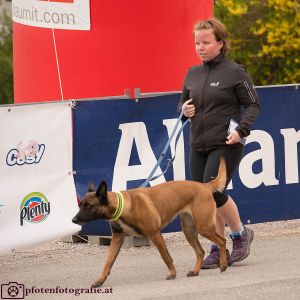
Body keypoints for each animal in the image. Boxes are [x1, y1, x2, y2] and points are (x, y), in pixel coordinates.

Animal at [72, 157, 227, 286]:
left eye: (88, 206)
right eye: (81, 205)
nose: (73, 220)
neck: (123, 206)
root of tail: (205, 186)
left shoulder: (155, 234)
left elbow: (165, 256)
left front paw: (172, 273)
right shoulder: (117, 238)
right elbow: (108, 262)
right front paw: (100, 280)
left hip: (204, 227)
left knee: (222, 241)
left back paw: (223, 264)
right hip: (189, 231)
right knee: (200, 251)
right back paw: (195, 271)